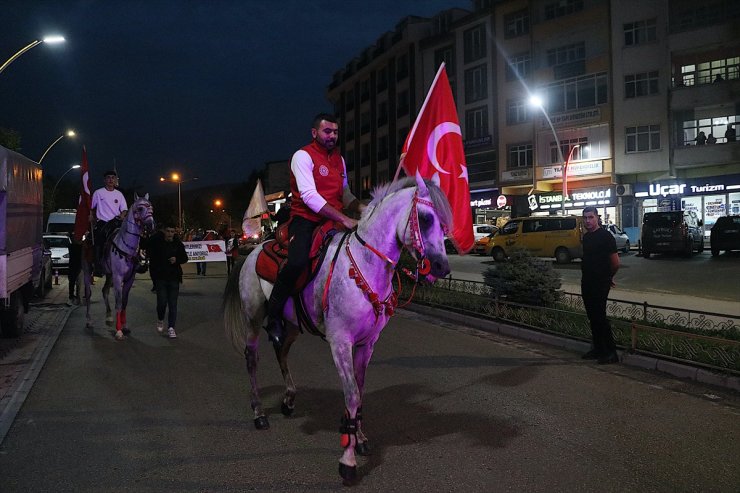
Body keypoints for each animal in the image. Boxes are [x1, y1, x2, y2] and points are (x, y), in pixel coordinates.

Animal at [221, 175, 450, 482]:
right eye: (425, 219)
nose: (442, 267)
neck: (365, 264)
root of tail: (252, 251)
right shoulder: (340, 342)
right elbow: (351, 394)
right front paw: (348, 460)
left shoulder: (367, 343)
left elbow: (359, 391)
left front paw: (360, 438)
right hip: (253, 320)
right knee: (252, 359)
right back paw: (258, 412)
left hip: (292, 325)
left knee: (282, 352)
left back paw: (289, 399)